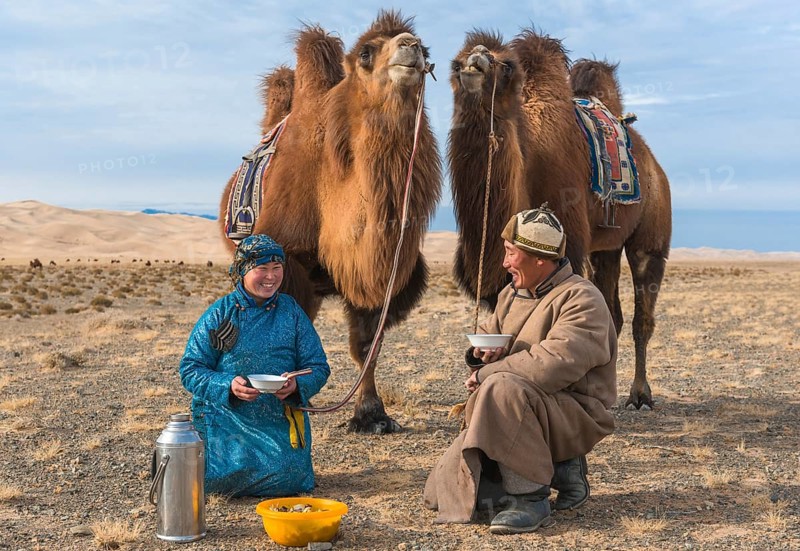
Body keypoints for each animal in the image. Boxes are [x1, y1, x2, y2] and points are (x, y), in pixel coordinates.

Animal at [219, 10, 441, 433]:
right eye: (367, 52)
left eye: (425, 46)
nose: (409, 47)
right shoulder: (288, 259)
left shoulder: (376, 269)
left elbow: (367, 345)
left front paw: (372, 415)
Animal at [449, 29, 671, 409]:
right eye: (457, 58)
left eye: (506, 65)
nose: (474, 60)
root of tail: (653, 163)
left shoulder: (570, 237)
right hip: (605, 247)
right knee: (612, 310)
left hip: (650, 235)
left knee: (642, 314)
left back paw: (640, 395)